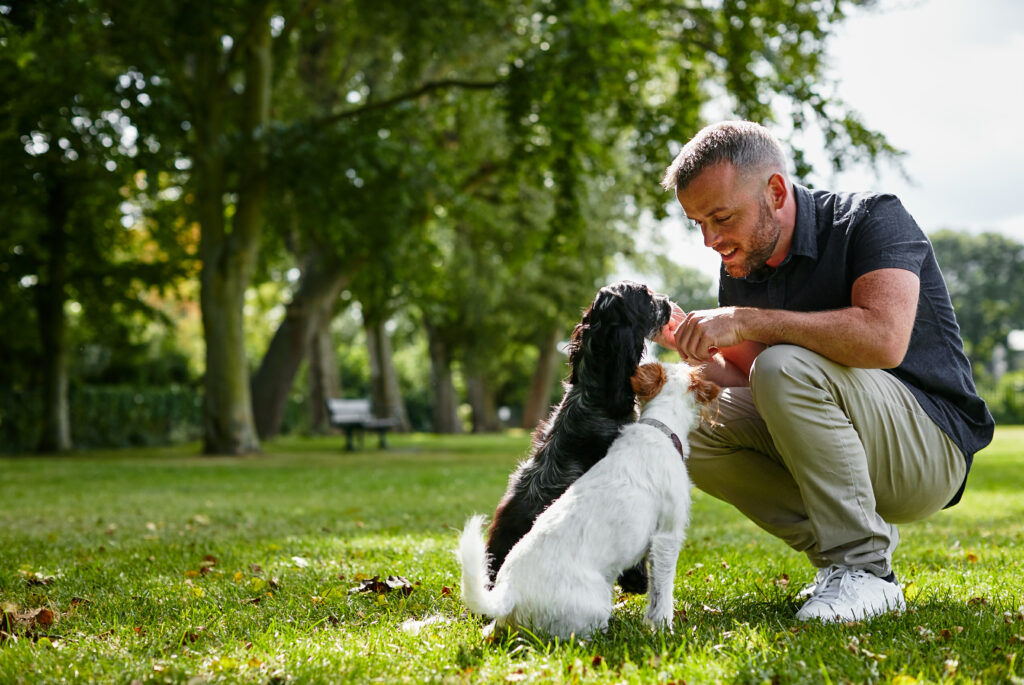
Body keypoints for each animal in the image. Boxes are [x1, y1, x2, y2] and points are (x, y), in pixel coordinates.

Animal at [460, 360, 716, 638]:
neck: (659, 427)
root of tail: (508, 597)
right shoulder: (667, 538)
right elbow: (662, 595)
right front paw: (665, 630)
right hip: (595, 606)